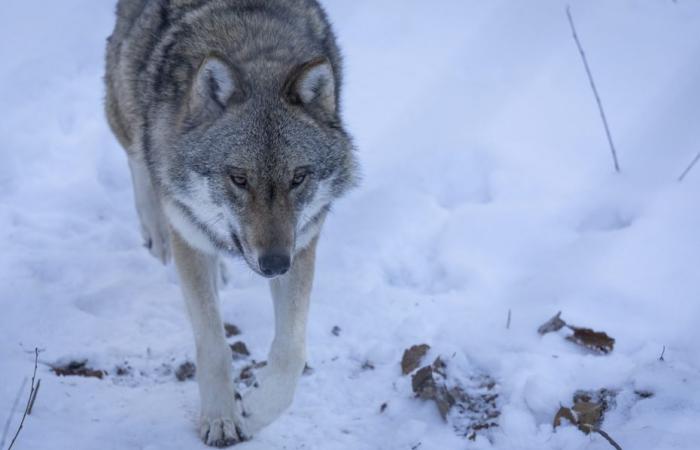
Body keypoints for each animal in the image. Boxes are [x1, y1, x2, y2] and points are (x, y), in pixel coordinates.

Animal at [104, 0, 360, 442]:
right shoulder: (190, 237)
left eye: (298, 177)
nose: (274, 264)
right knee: (137, 151)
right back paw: (156, 231)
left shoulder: (302, 243)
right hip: (124, 93)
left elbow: (292, 351)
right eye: (239, 178)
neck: (250, 47)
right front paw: (221, 417)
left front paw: (256, 412)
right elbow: (212, 346)